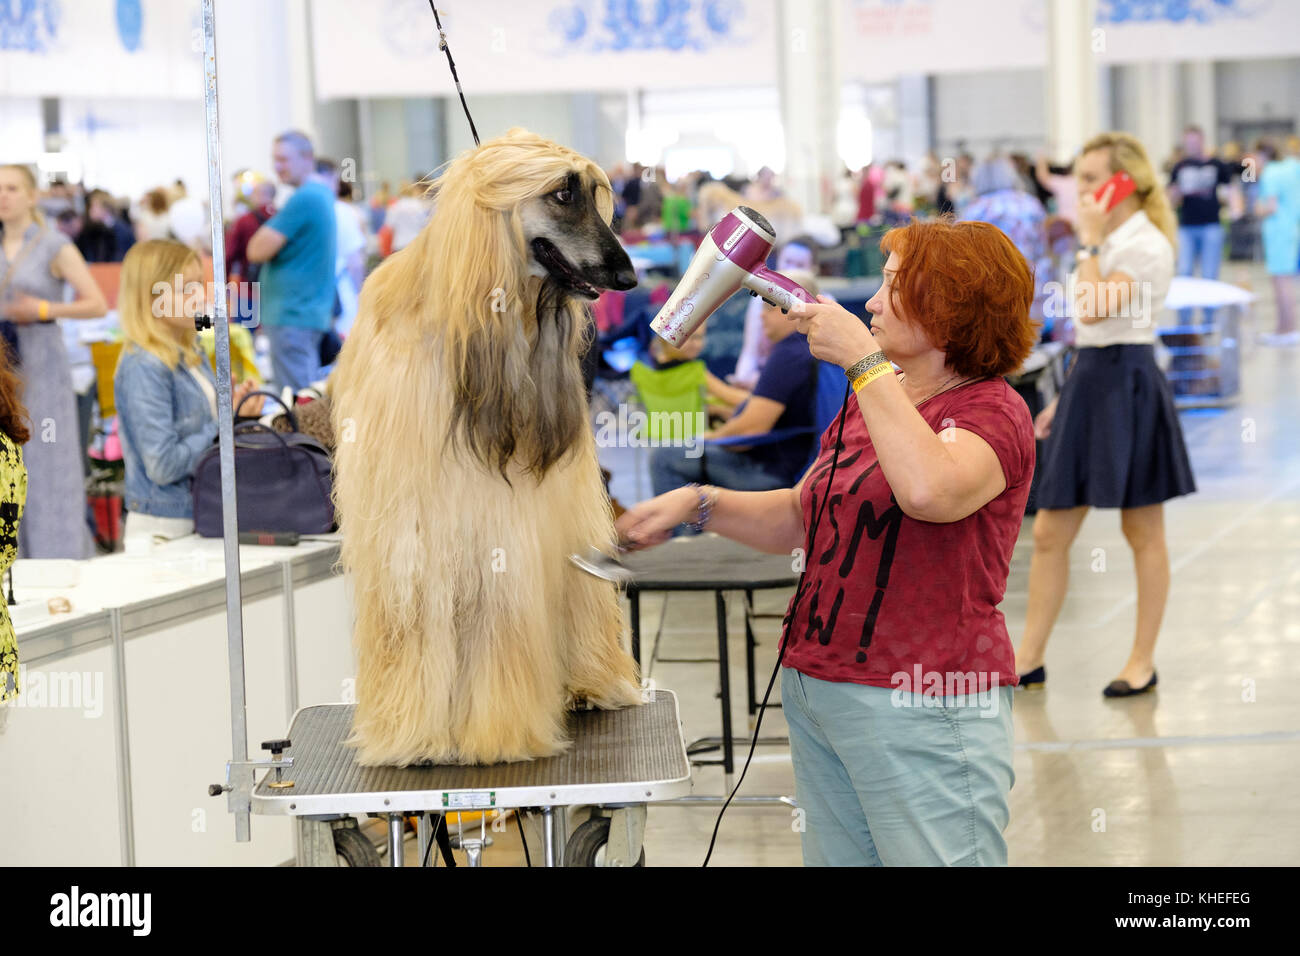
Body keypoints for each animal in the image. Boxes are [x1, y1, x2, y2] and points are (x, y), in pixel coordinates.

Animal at [332, 128, 642, 770]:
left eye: (593, 193)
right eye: (561, 192)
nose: (628, 276)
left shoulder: (497, 526)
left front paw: (499, 732)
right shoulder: (409, 530)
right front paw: (411, 735)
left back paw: (588, 684)